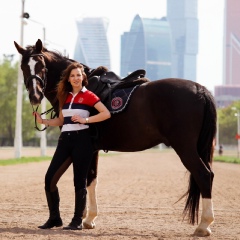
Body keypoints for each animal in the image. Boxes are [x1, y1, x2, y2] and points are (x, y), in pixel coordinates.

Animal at [15, 39, 218, 236]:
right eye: (24, 67)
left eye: (41, 65)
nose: (34, 95)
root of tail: (199, 89)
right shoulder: (92, 149)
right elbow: (91, 180)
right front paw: (88, 219)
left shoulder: (86, 148)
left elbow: (86, 180)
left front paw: (84, 219)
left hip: (185, 148)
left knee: (203, 175)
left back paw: (204, 225)